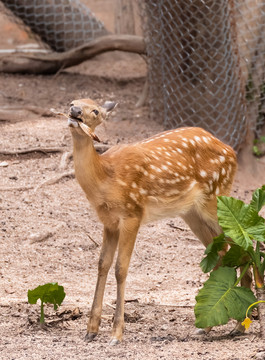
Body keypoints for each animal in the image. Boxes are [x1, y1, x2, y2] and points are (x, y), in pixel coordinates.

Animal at [66, 97, 237, 344]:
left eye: (95, 111)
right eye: (72, 102)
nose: (76, 111)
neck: (106, 178)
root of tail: (231, 151)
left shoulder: (133, 213)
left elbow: (121, 268)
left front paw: (116, 334)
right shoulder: (109, 221)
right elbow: (102, 264)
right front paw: (91, 330)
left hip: (218, 198)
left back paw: (243, 324)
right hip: (192, 213)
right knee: (222, 252)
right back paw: (208, 327)